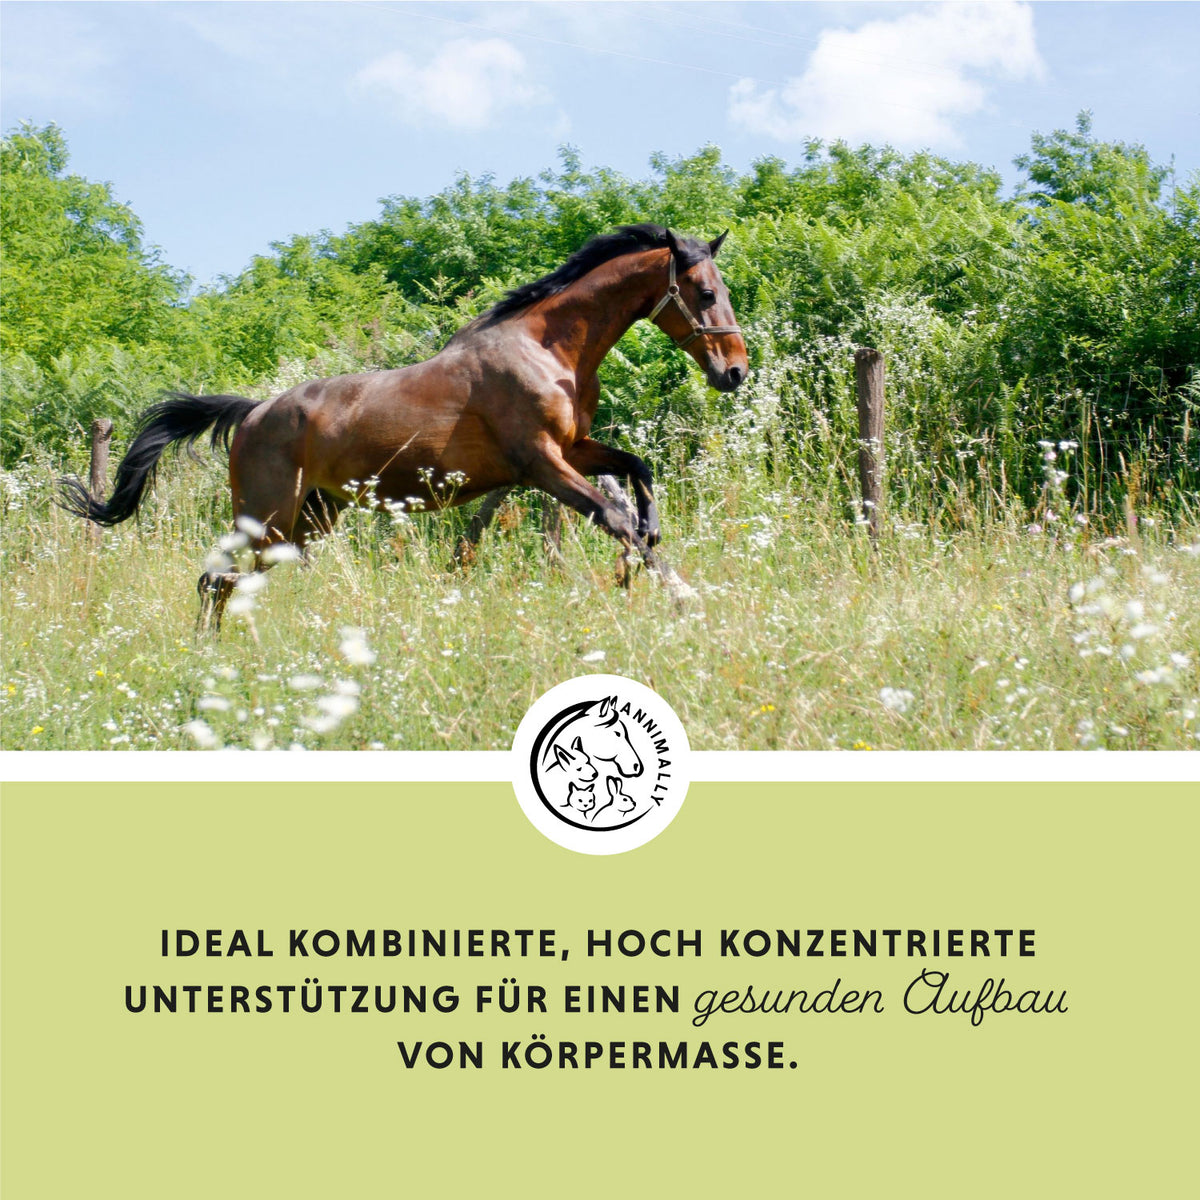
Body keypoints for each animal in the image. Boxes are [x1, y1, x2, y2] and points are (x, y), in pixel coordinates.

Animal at [59, 223, 748, 628]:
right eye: (706, 293)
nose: (735, 371)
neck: (548, 350)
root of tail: (251, 412)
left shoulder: (573, 449)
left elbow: (636, 470)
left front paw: (657, 540)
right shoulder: (542, 463)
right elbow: (614, 518)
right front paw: (684, 598)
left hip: (310, 518)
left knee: (232, 582)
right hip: (266, 514)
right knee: (214, 580)